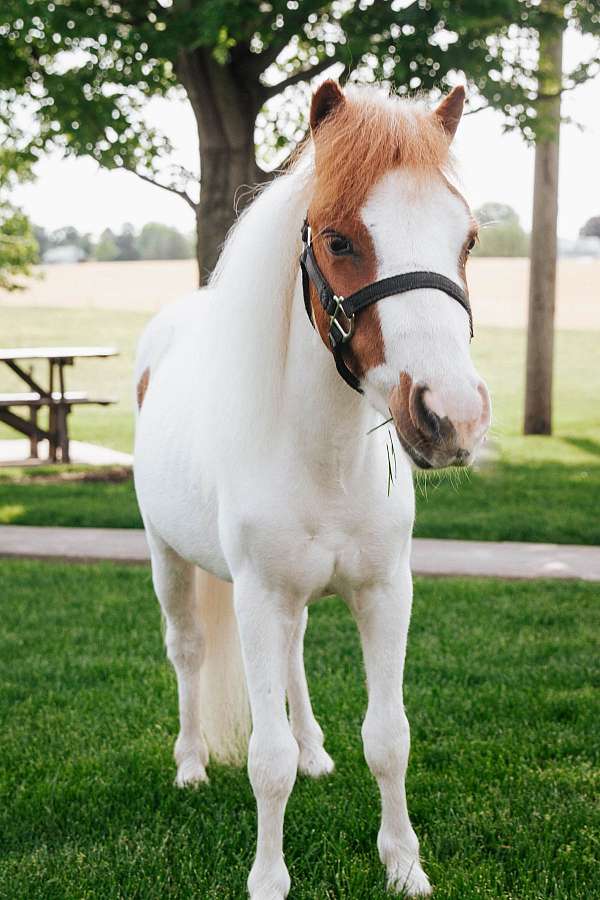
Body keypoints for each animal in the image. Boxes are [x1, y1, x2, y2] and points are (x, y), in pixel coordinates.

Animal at [136, 81, 492, 896]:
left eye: (466, 239)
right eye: (338, 241)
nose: (452, 416)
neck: (323, 456)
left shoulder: (386, 591)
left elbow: (389, 737)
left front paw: (404, 864)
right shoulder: (257, 597)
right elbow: (266, 764)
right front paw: (269, 879)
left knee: (295, 656)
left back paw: (314, 750)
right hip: (169, 560)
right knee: (188, 652)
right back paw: (191, 765)